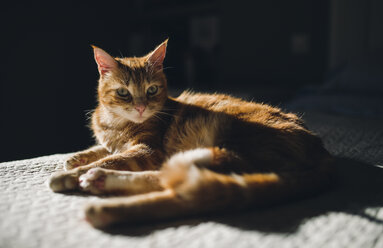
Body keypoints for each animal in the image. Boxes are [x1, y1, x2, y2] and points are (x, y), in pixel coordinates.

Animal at [48, 39, 336, 229]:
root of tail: (320, 148)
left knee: (184, 182)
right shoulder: (115, 142)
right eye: (123, 93)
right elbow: (101, 149)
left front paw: (72, 172)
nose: (141, 107)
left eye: (152, 90)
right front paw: (75, 158)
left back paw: (98, 183)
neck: (117, 123)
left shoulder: (147, 150)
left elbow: (113, 157)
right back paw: (103, 199)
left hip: (232, 141)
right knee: (181, 192)